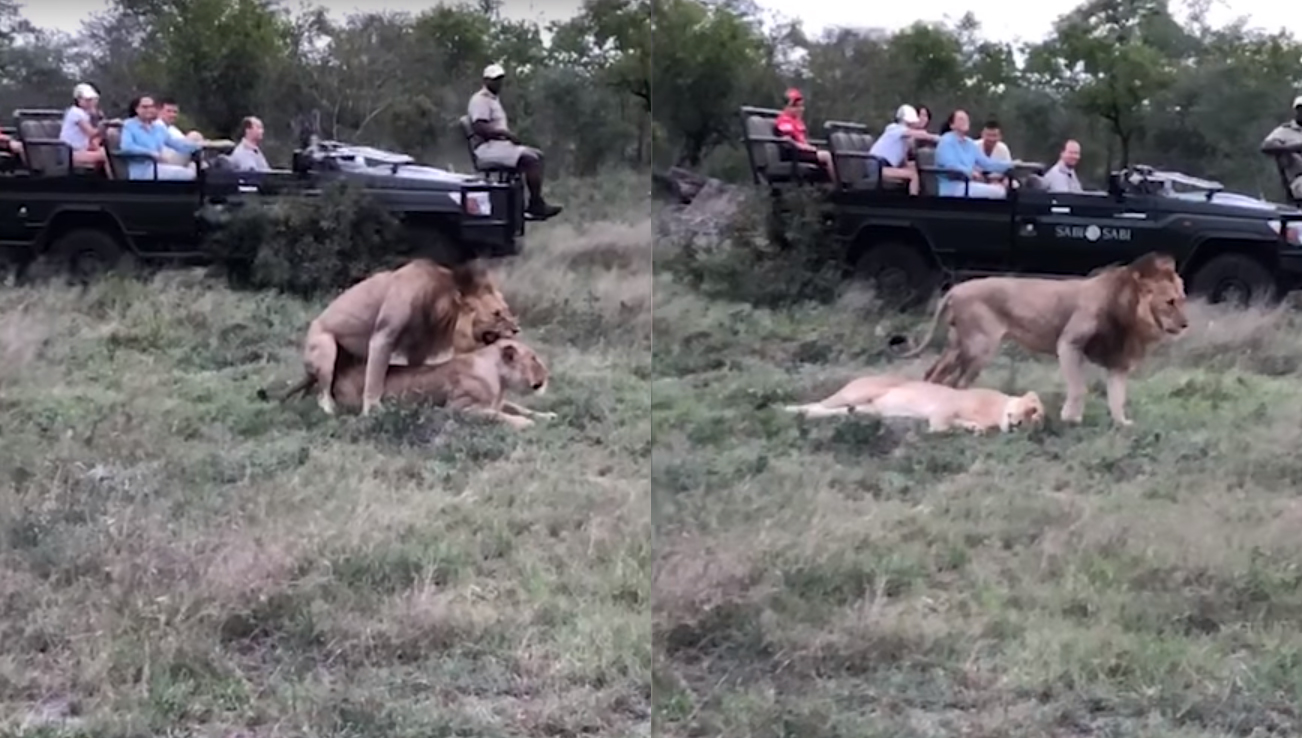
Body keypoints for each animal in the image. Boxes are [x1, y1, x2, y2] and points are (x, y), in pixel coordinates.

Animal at [298, 256, 515, 416]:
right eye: (496, 314)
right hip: (326, 348)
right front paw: (373, 411)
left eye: (507, 310)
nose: (516, 330)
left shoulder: (419, 347)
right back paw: (331, 410)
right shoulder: (383, 336)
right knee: (323, 394)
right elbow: (374, 378)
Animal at [900, 252, 1187, 426]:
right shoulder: (1069, 344)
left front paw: (1122, 424)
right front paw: (1071, 418)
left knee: (934, 375)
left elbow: (1117, 397)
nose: (1185, 324)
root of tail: (956, 289)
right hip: (980, 346)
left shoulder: (1118, 361)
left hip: (958, 344)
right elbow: (1079, 388)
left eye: (1182, 299)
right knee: (958, 384)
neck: (1129, 314)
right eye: (1170, 302)